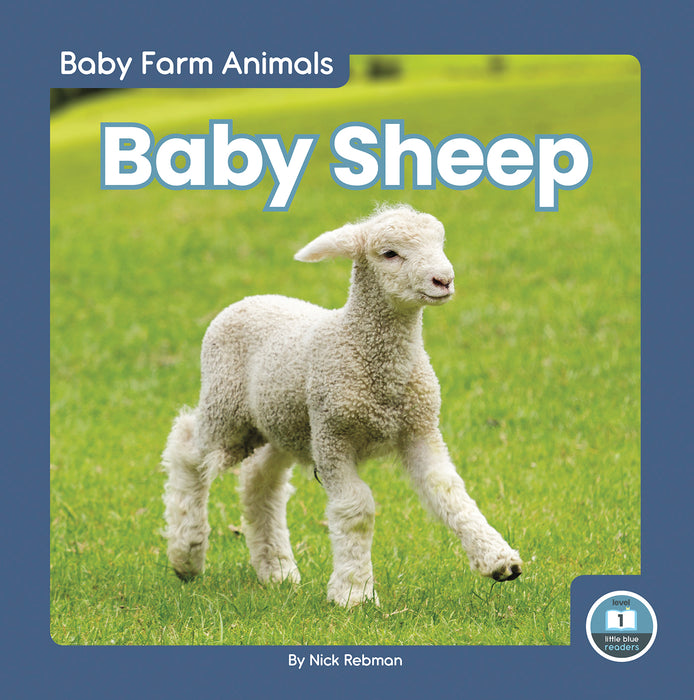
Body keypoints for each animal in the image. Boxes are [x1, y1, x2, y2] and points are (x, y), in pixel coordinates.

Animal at [162, 204, 522, 607]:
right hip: (227, 410)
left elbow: (448, 490)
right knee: (186, 450)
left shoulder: (420, 428)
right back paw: (186, 554)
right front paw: (354, 591)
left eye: (439, 243)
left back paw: (276, 569)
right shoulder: (333, 436)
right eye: (389, 253)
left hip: (283, 424)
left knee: (261, 481)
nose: (443, 280)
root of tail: (248, 300)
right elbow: (356, 509)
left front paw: (498, 560)